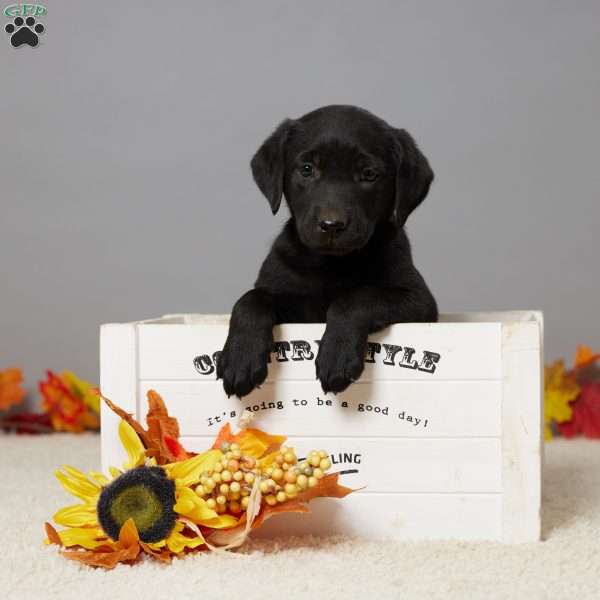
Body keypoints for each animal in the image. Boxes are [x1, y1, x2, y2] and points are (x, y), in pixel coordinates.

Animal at [216, 106, 436, 398]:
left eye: (369, 173)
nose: (331, 225)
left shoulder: (419, 299)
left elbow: (355, 298)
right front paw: (240, 358)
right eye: (307, 169)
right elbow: (251, 299)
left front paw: (337, 356)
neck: (331, 264)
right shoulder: (286, 296)